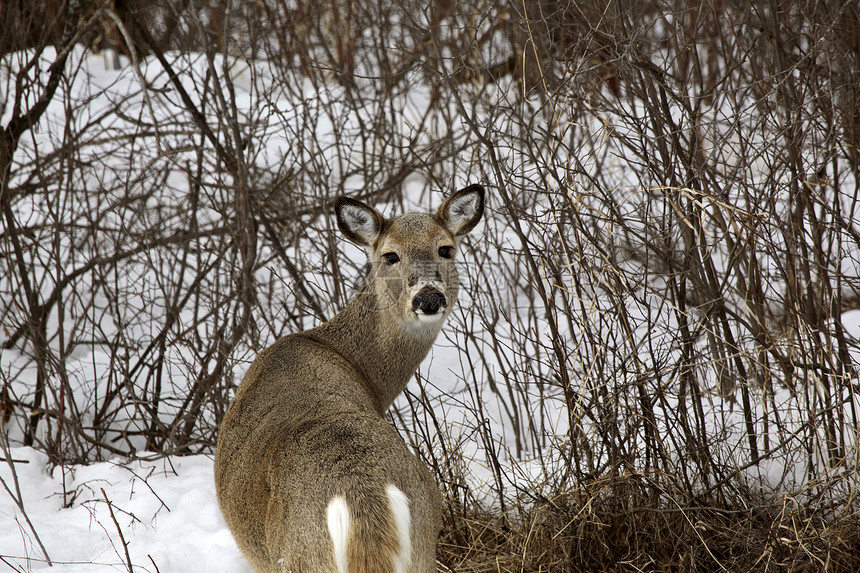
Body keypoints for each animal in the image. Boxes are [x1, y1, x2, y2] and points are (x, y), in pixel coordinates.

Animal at [213, 184, 484, 572]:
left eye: (445, 248)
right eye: (390, 255)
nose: (429, 297)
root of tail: (362, 495)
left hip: (298, 556)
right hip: (422, 543)